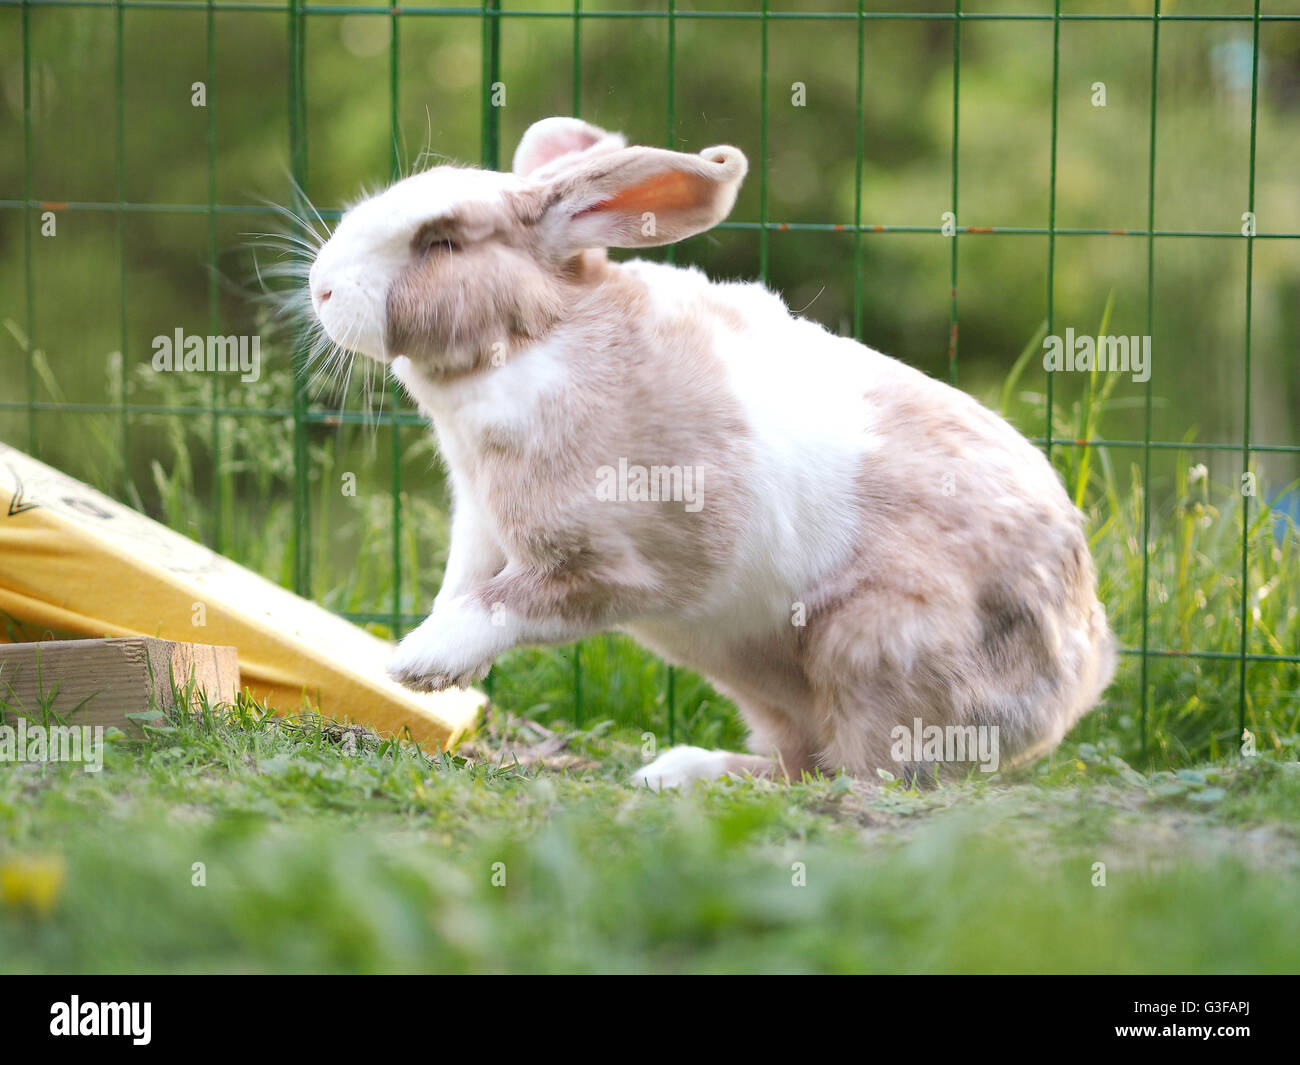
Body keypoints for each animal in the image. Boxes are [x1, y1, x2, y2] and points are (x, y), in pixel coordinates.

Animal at [306, 116, 1118, 790]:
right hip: (773, 687)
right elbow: (464, 584)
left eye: (440, 241)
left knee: (861, 776)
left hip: (867, 651)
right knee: (803, 759)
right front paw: (430, 661)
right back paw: (677, 770)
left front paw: (419, 663)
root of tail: (1081, 667)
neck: (532, 340)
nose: (320, 288)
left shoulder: (618, 568)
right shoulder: (479, 521)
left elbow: (510, 601)